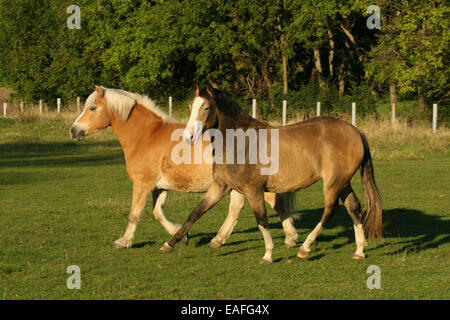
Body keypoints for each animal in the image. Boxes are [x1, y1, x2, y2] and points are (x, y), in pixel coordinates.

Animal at [69, 86, 298, 249]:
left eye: (92, 108)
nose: (73, 130)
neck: (146, 136)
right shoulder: (160, 187)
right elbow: (157, 212)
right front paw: (180, 234)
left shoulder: (142, 185)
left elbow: (135, 213)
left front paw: (124, 241)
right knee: (237, 208)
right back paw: (218, 239)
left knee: (277, 205)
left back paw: (290, 237)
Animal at [160, 86, 382, 264]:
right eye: (191, 105)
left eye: (206, 108)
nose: (188, 137)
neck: (239, 143)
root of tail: (355, 131)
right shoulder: (220, 186)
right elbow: (196, 212)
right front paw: (170, 243)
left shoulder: (254, 190)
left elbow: (262, 221)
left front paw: (268, 255)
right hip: (343, 182)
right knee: (354, 207)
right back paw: (359, 251)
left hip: (333, 183)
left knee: (330, 210)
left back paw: (305, 248)